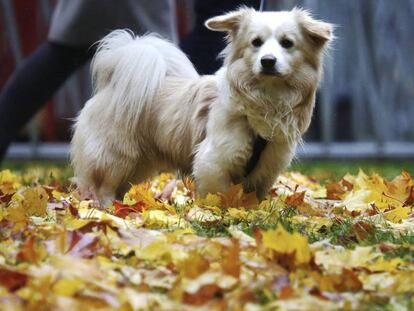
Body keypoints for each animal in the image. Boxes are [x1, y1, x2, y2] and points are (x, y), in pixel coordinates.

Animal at [71, 7, 334, 204]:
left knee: (121, 187)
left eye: (287, 43)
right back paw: (109, 211)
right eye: (256, 43)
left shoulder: (266, 167)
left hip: (139, 162)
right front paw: (217, 214)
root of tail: (113, 80)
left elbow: (254, 197)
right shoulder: (214, 161)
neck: (267, 97)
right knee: (104, 186)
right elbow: (218, 195)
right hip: (115, 156)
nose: (267, 61)